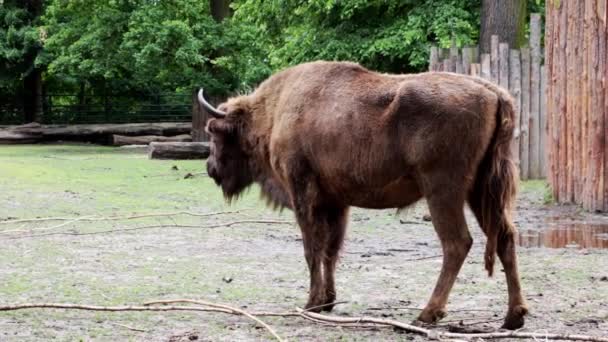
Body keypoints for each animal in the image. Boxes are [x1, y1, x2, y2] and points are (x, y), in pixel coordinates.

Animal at [198, 60, 528, 328]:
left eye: (214, 132)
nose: (210, 168)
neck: (275, 110)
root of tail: (492, 92)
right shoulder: (336, 202)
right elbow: (331, 250)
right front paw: (328, 301)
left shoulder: (303, 192)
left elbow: (311, 247)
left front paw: (312, 303)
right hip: (481, 191)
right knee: (505, 237)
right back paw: (514, 317)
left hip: (443, 190)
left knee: (457, 243)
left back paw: (427, 314)